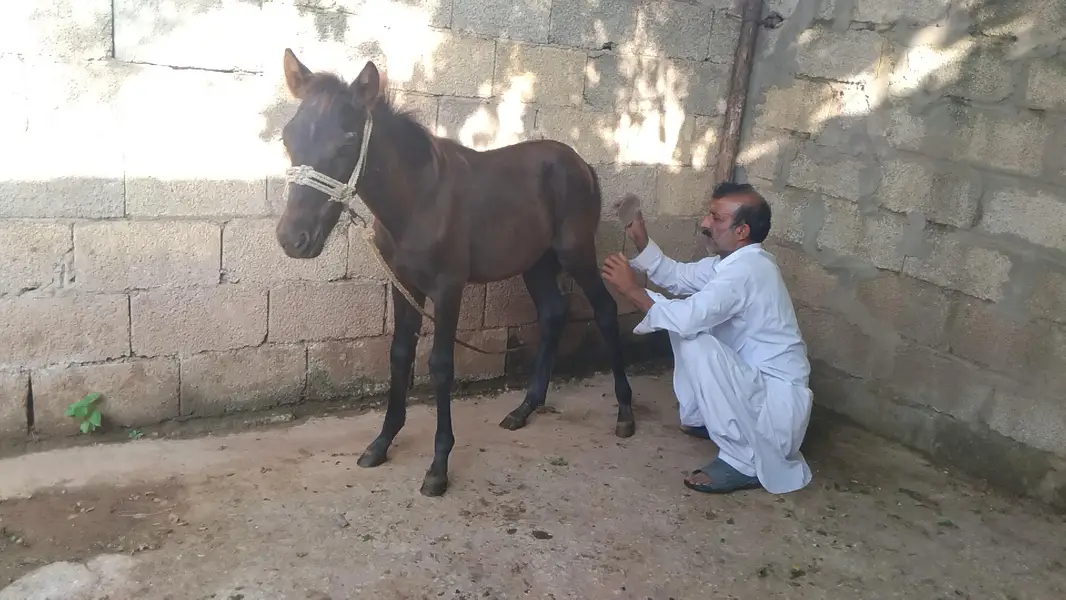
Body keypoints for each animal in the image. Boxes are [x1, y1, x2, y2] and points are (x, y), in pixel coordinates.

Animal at [273, 49, 635, 497]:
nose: (293, 239)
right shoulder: (405, 285)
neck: (419, 200)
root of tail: (582, 164)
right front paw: (381, 443)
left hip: (576, 253)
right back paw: (524, 408)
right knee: (553, 313)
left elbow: (441, 366)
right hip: (536, 263)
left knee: (604, 310)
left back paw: (624, 411)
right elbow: (399, 356)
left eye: (347, 141)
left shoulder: (448, 288)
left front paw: (438, 466)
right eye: (287, 137)